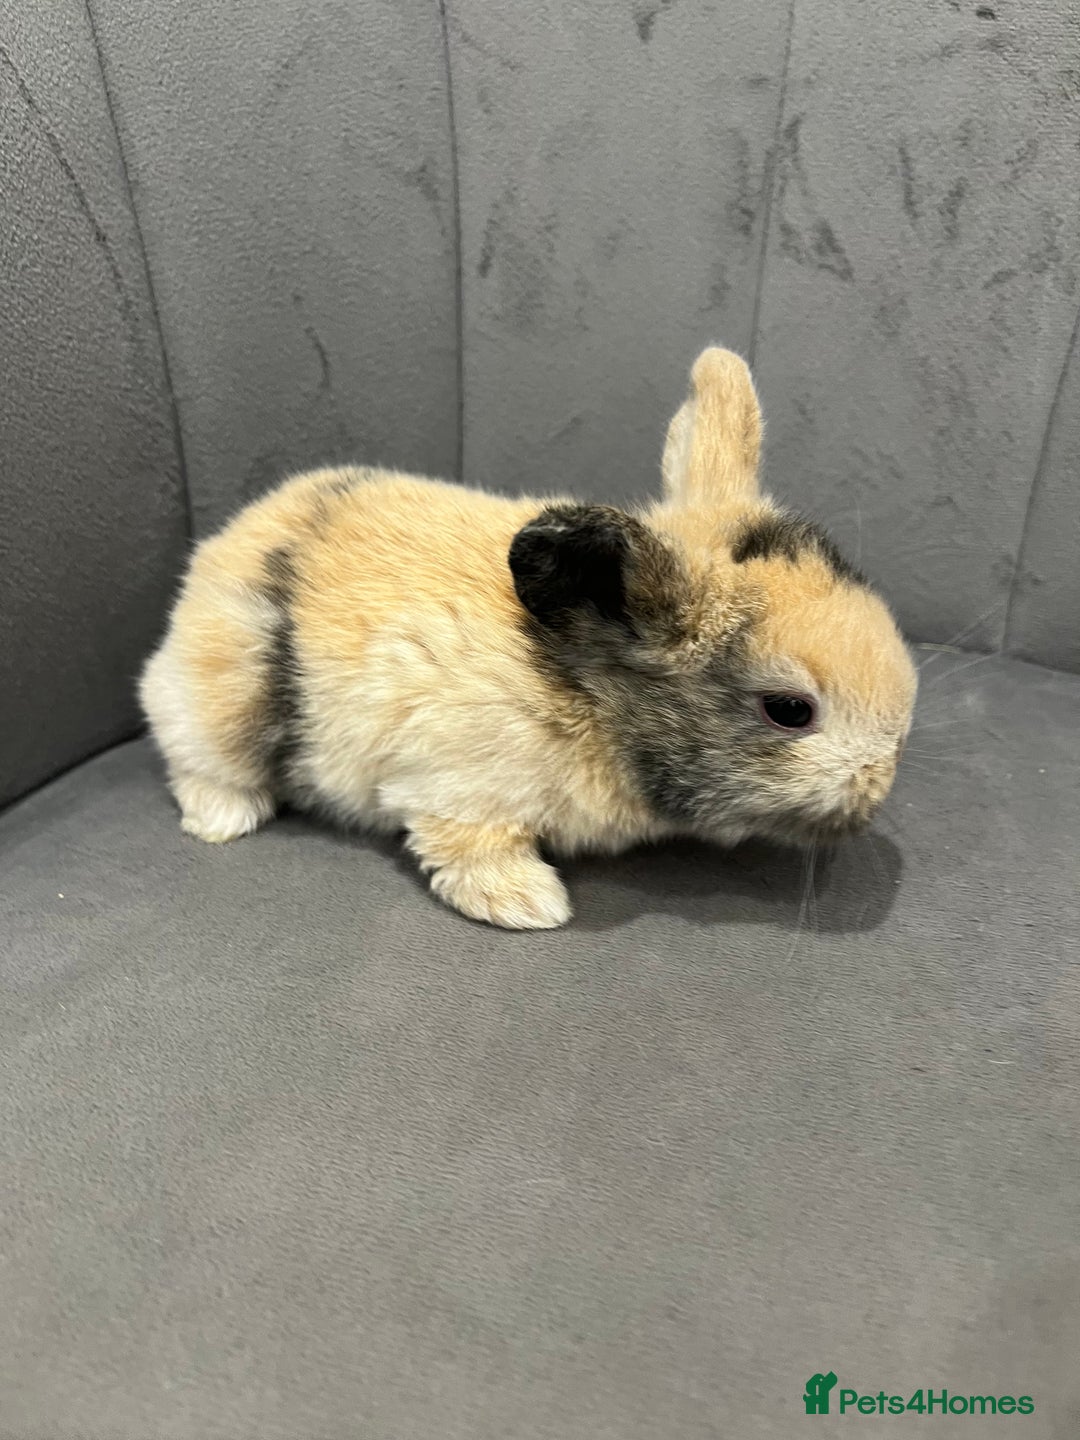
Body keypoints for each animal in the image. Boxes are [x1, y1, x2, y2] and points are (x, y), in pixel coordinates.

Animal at [140, 346, 916, 930]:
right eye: (789, 710)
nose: (880, 786)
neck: (585, 691)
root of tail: (227, 548)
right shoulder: (455, 790)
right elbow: (465, 846)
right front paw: (530, 904)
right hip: (218, 712)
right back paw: (225, 820)